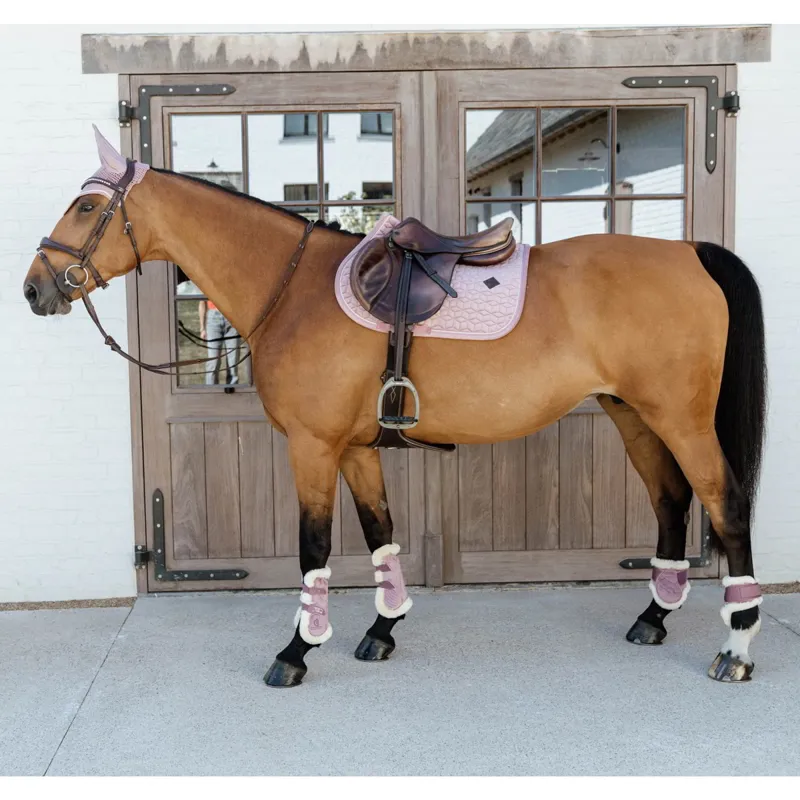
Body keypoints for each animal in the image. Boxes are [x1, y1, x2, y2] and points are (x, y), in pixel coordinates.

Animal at [23, 128, 767, 687]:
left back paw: (736, 648)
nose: (34, 288)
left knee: (724, 504)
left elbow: (314, 546)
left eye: (85, 208)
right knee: (671, 501)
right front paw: (383, 629)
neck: (296, 290)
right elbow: (381, 532)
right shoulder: (354, 448)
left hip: (680, 420)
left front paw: (297, 651)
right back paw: (653, 618)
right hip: (631, 414)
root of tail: (689, 254)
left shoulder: (312, 446)